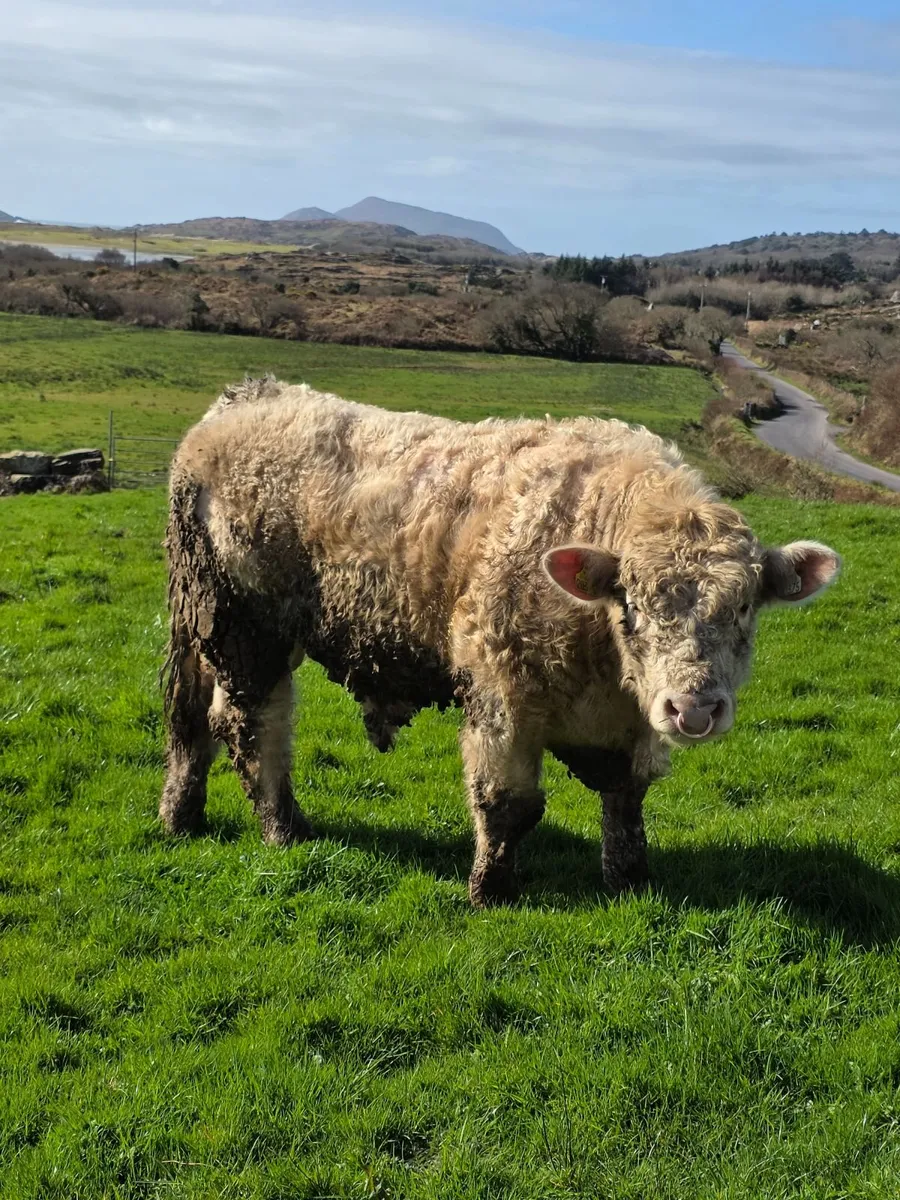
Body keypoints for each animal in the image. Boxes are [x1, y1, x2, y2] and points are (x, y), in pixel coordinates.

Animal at [160, 377, 840, 906]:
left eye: (745, 605)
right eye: (633, 605)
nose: (693, 709)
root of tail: (248, 396)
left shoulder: (630, 723)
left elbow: (627, 797)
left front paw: (630, 880)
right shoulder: (501, 698)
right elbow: (509, 803)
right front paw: (491, 890)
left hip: (208, 629)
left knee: (192, 721)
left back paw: (181, 816)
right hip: (245, 630)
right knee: (252, 728)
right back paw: (285, 827)